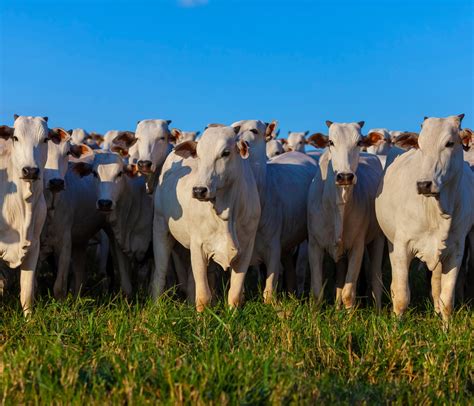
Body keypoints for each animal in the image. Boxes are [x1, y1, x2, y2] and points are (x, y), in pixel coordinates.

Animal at [151, 125, 260, 310]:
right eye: (199, 154)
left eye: (225, 152)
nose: (199, 190)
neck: (226, 214)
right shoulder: (198, 246)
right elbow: (203, 296)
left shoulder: (246, 248)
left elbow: (235, 294)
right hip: (160, 228)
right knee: (160, 272)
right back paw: (156, 305)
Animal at [308, 120, 386, 308]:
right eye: (330, 142)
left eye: (359, 142)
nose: (345, 176)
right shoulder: (314, 245)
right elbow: (317, 292)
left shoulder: (357, 246)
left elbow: (348, 293)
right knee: (339, 278)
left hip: (378, 240)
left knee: (376, 279)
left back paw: (378, 310)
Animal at [376, 115, 472, 324]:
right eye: (420, 145)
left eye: (449, 143)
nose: (423, 184)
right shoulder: (402, 247)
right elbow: (402, 296)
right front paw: (397, 327)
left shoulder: (456, 251)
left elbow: (446, 299)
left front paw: (445, 328)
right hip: (391, 244)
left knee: (436, 287)